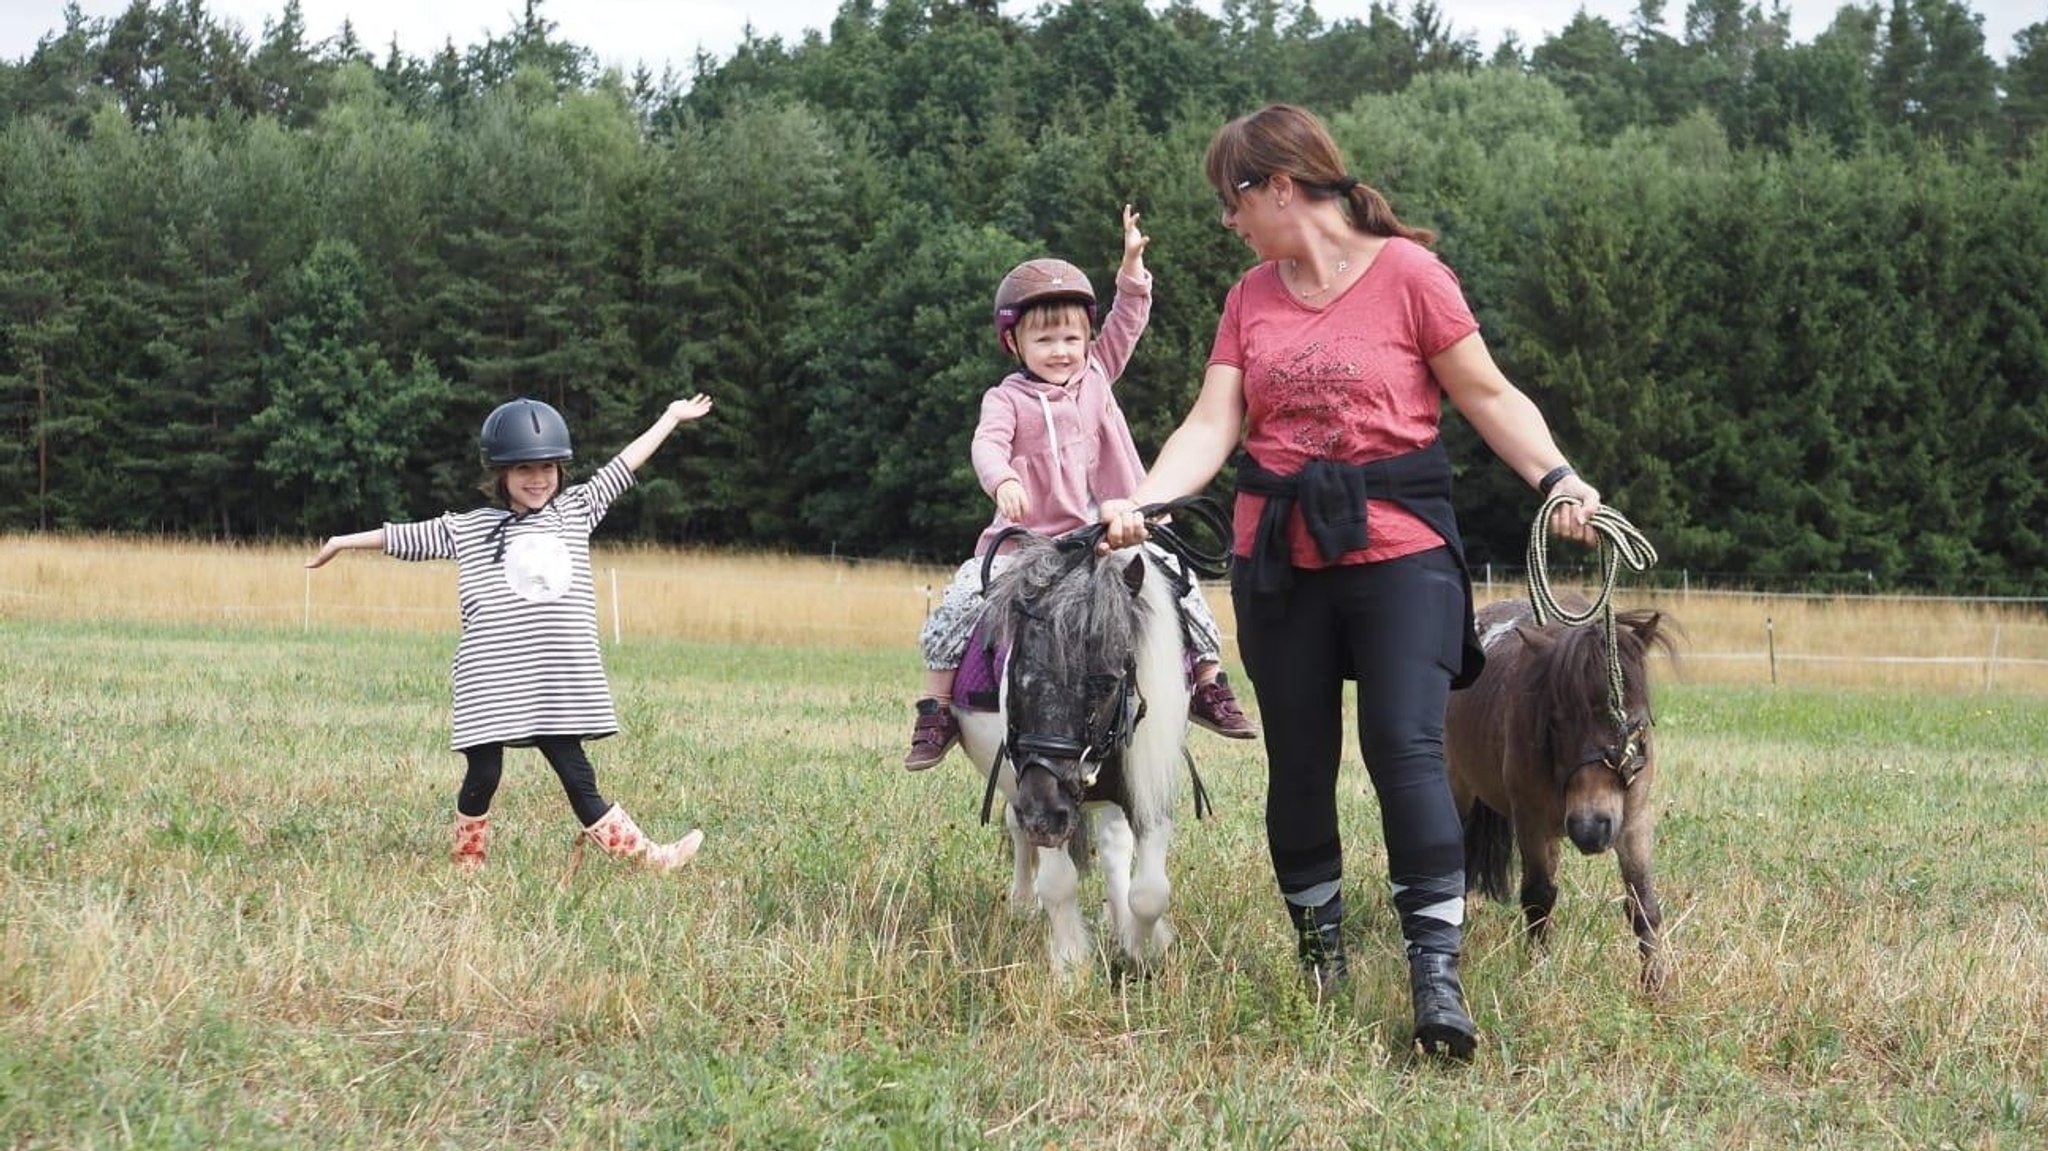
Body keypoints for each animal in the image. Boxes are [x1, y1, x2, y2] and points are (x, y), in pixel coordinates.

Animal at [1441, 593, 1679, 991]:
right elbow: (1539, 897)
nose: (1590, 828)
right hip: (1458, 790)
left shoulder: (1633, 821)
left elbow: (1643, 903)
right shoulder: (1532, 824)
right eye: (1556, 722)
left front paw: (1655, 986)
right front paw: (1538, 973)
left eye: (1634, 724)